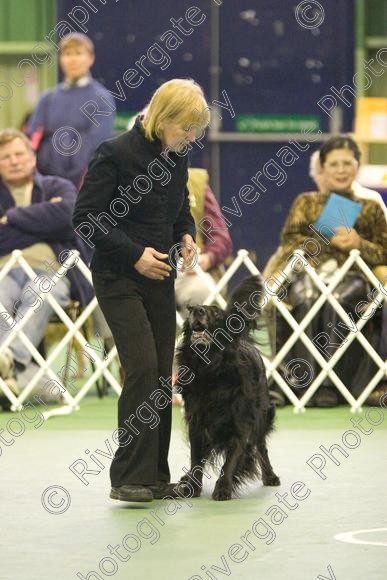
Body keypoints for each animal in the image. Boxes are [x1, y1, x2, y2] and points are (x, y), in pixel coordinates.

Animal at [176, 276, 282, 498]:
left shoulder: (241, 421)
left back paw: (270, 476)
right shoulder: (196, 421)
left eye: (216, 313)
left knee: (261, 446)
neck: (210, 369)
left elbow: (232, 457)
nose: (196, 310)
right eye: (192, 311)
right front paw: (192, 487)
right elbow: (196, 458)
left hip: (262, 415)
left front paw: (223, 488)